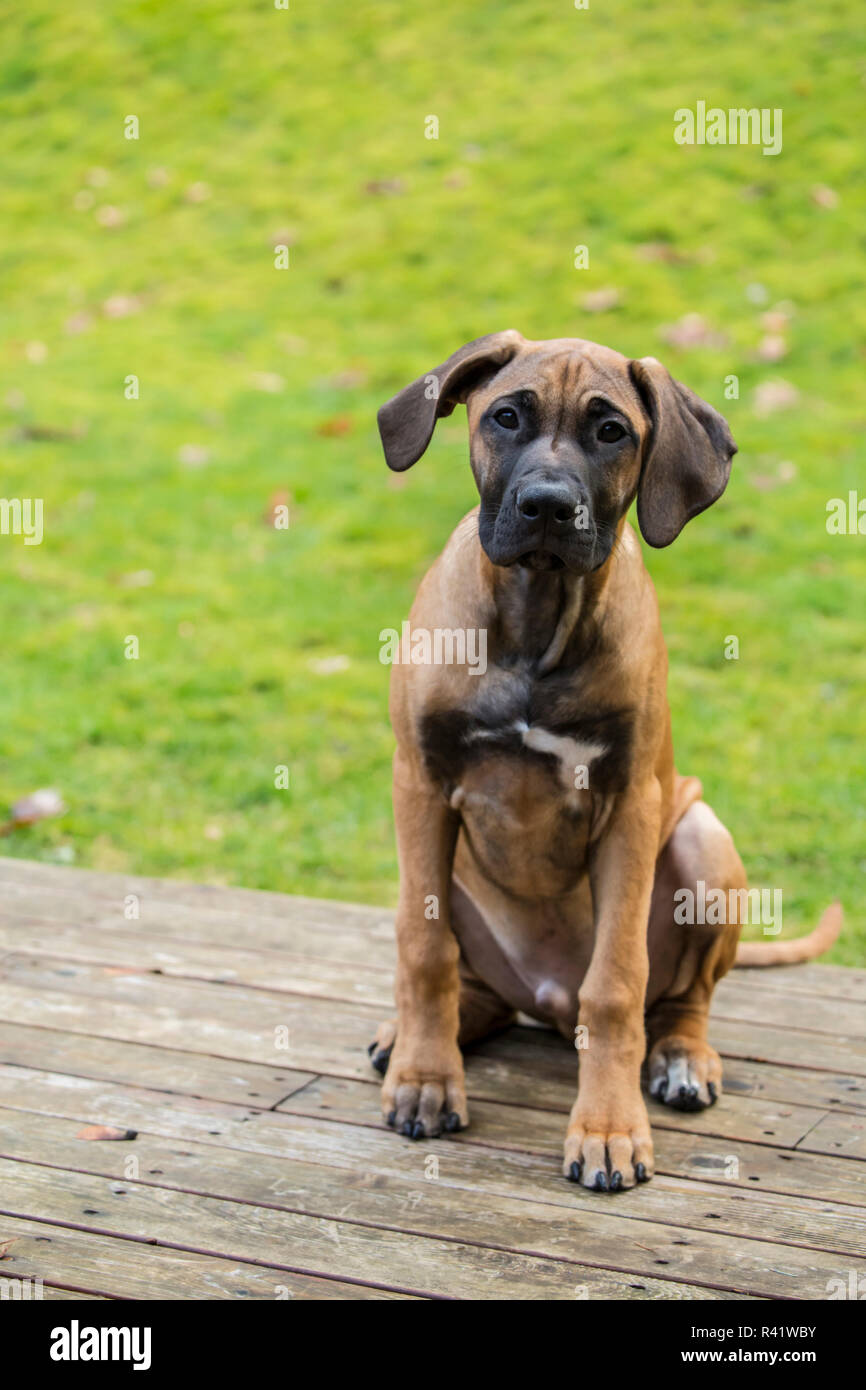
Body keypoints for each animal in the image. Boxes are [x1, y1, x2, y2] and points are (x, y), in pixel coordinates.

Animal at [369, 330, 839, 1189]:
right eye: (506, 416)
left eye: (611, 431)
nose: (547, 507)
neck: (536, 619)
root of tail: (546, 1000)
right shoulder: (419, 780)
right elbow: (423, 949)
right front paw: (425, 1078)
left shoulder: (630, 806)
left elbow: (617, 986)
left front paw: (610, 1129)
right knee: (468, 978)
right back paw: (423, 1036)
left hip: (702, 840)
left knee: (677, 1000)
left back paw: (682, 1060)